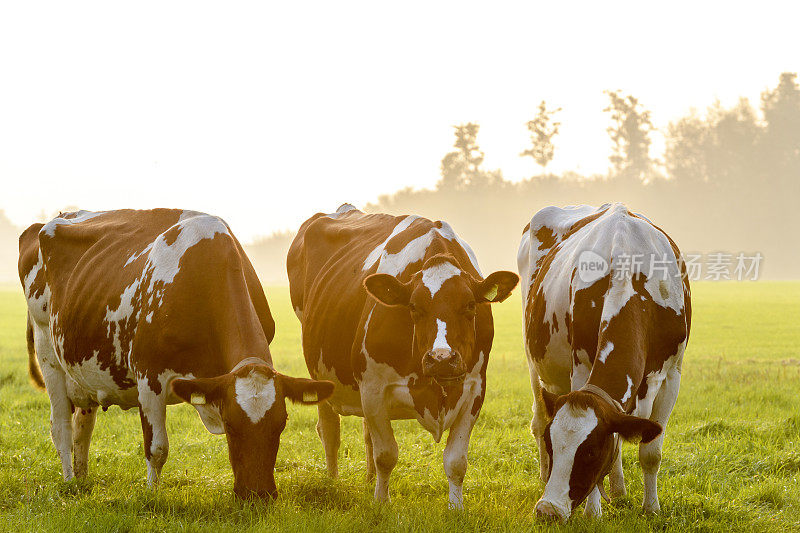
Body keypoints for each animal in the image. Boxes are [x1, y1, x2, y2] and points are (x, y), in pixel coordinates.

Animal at [18, 209, 332, 498]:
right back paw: (70, 481)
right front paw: (152, 496)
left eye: (282, 424)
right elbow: (157, 449)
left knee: (83, 427)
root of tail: (52, 219)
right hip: (48, 354)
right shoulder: (149, 377)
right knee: (60, 427)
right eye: (231, 426)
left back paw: (83, 480)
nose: (258, 495)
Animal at [288, 204, 520, 508]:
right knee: (329, 430)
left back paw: (369, 481)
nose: (442, 358)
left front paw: (456, 508)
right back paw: (332, 481)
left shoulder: (474, 389)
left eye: (470, 305)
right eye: (413, 307)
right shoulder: (373, 388)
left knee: (365, 435)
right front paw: (381, 504)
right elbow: (386, 454)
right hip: (321, 373)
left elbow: (456, 461)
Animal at [516, 204, 692, 520]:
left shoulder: (672, 374)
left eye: (591, 452)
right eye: (551, 444)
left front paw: (651, 508)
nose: (548, 510)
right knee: (538, 418)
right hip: (534, 362)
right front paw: (593, 512)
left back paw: (619, 490)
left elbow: (650, 451)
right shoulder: (580, 367)